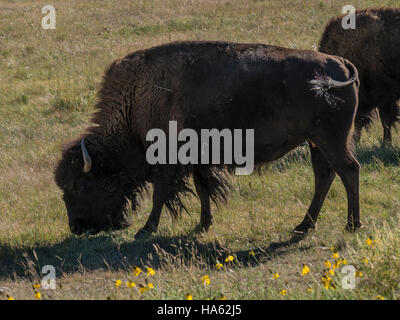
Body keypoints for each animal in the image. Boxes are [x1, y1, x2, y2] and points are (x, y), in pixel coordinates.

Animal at [54, 40, 362, 238]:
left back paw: (351, 225)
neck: (137, 98)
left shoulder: (168, 160)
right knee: (324, 177)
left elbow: (161, 194)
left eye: (78, 186)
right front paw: (204, 224)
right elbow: (203, 189)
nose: (76, 228)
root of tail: (343, 64)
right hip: (315, 142)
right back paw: (304, 226)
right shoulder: (197, 160)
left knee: (348, 171)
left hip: (331, 141)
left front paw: (146, 229)